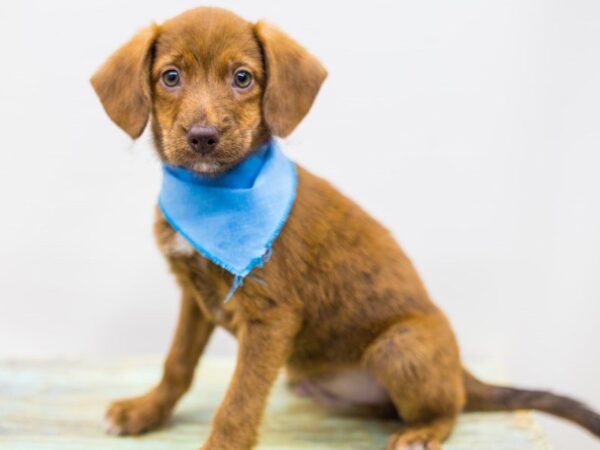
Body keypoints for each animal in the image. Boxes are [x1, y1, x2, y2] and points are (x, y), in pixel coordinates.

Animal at [90, 7, 600, 450]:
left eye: (242, 78)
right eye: (170, 76)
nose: (202, 138)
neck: (213, 191)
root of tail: (461, 371)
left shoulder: (269, 316)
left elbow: (240, 399)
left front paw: (219, 443)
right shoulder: (193, 296)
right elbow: (177, 363)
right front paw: (145, 412)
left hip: (400, 346)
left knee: (449, 406)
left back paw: (423, 432)